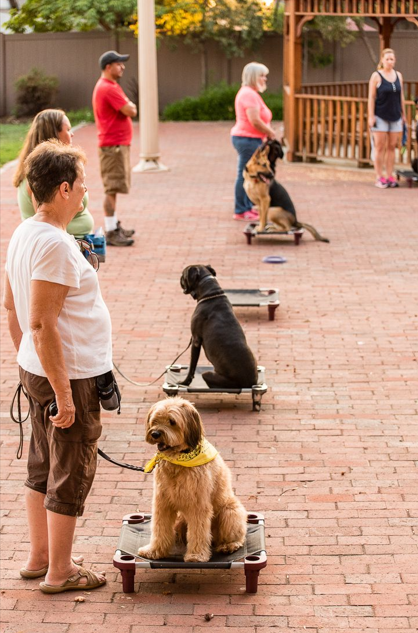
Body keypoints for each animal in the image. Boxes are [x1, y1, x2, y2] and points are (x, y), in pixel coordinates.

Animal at [137, 398, 248, 560]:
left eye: (172, 421)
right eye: (155, 420)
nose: (155, 433)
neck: (178, 461)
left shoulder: (198, 505)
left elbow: (198, 532)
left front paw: (196, 555)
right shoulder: (162, 502)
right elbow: (159, 528)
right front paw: (154, 550)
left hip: (229, 512)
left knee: (237, 536)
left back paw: (228, 545)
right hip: (180, 519)